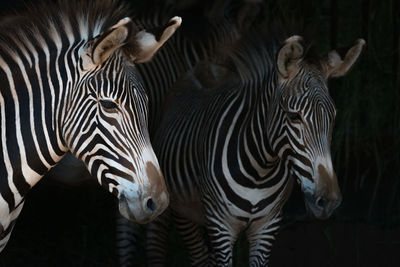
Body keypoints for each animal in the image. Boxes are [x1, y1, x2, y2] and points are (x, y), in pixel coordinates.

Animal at [146, 27, 366, 267]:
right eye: (294, 116)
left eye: (333, 116)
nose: (329, 202)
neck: (259, 172)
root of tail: (204, 66)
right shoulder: (220, 226)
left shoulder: (267, 227)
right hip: (179, 211)